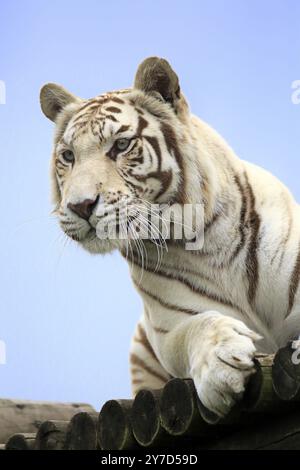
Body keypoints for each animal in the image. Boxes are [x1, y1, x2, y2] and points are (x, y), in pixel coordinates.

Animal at [39, 57, 300, 414]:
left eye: (121, 145)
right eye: (68, 156)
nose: (80, 205)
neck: (207, 242)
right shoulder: (170, 324)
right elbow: (195, 329)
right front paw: (221, 364)